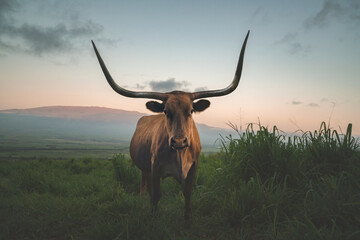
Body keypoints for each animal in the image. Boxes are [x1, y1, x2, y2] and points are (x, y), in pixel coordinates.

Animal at [91, 31, 249, 220]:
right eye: (166, 111)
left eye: (191, 111)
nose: (179, 141)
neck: (179, 156)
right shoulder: (154, 168)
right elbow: (155, 197)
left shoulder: (193, 168)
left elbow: (187, 194)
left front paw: (187, 220)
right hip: (144, 168)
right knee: (144, 187)